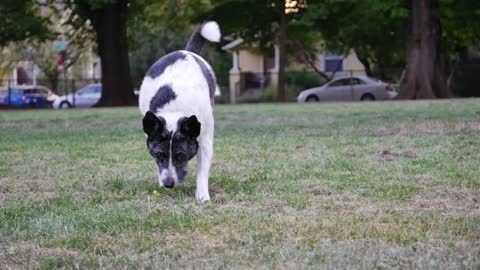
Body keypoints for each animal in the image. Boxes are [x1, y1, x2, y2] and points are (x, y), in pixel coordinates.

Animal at [139, 22, 221, 201]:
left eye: (181, 156)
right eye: (159, 155)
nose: (169, 184)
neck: (174, 108)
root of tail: (186, 51)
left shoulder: (205, 140)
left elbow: (202, 171)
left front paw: (202, 195)